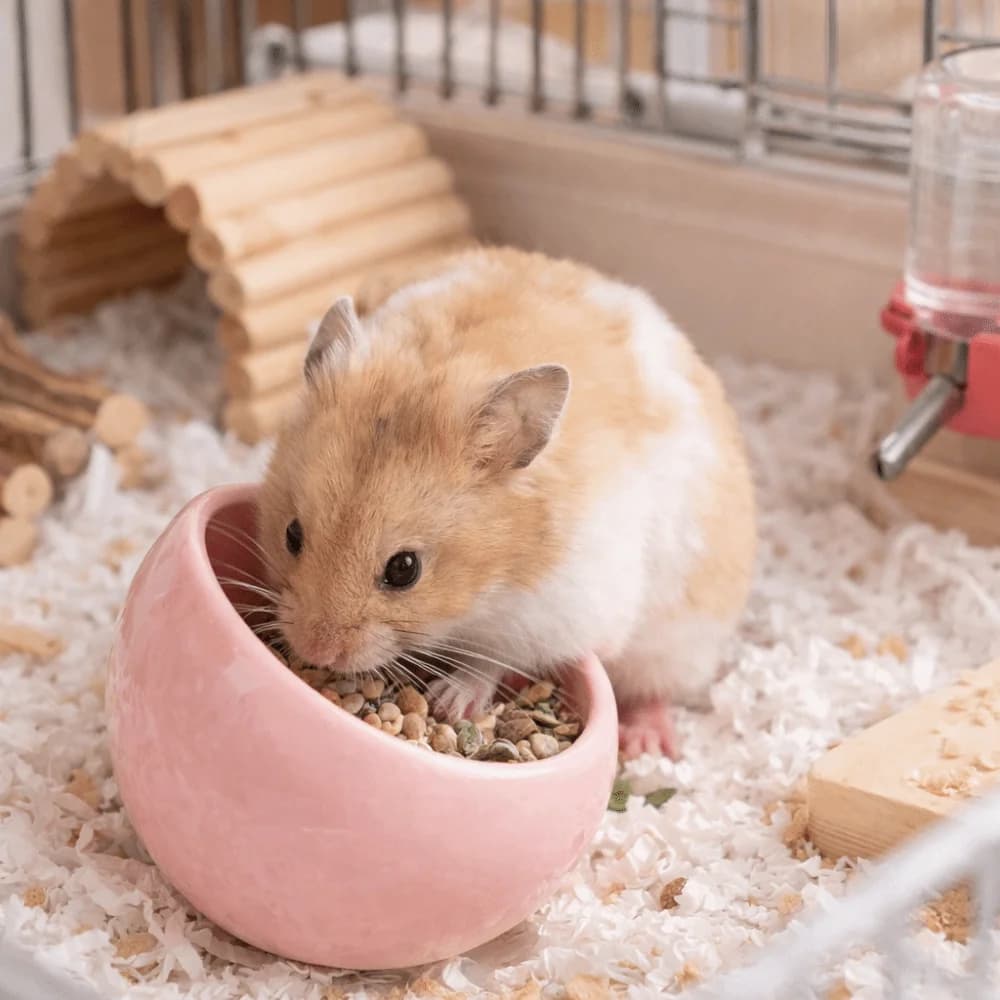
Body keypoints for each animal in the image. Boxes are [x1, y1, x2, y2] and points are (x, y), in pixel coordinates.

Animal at [258, 247, 756, 759]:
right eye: (291, 535)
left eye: (405, 569)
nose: (315, 651)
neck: (492, 582)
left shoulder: (563, 609)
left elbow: (498, 657)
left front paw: (452, 702)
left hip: (675, 644)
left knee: (653, 689)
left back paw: (645, 744)